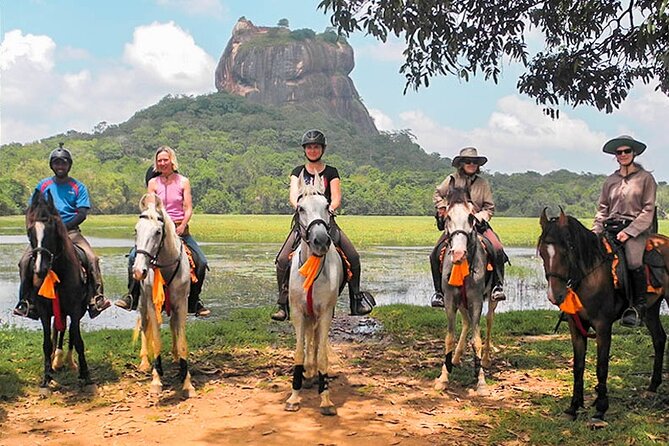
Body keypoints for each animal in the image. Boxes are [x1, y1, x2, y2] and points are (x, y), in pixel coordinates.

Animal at [22, 190, 94, 396]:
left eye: (52, 230)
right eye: (29, 231)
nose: (40, 269)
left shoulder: (75, 309)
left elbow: (77, 339)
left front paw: (85, 375)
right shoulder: (44, 311)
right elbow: (47, 342)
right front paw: (46, 378)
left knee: (69, 332)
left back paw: (67, 361)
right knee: (58, 331)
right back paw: (57, 360)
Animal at [132, 193, 195, 398]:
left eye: (158, 232)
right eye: (136, 230)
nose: (139, 271)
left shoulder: (181, 305)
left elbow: (182, 341)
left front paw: (187, 382)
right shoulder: (152, 305)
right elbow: (157, 340)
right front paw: (156, 380)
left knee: (174, 326)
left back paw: (175, 358)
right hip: (142, 305)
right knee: (144, 327)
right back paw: (144, 362)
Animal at [434, 187, 498, 395]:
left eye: (471, 217)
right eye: (448, 216)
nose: (458, 254)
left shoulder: (476, 300)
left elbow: (476, 340)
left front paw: (481, 381)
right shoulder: (450, 301)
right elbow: (449, 338)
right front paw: (443, 377)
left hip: (491, 300)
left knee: (488, 321)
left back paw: (485, 360)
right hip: (461, 303)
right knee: (467, 322)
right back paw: (455, 358)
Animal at [537, 208, 669, 423]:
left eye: (567, 249)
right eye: (541, 252)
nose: (554, 295)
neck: (589, 276)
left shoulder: (602, 326)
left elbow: (601, 366)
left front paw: (600, 409)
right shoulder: (576, 327)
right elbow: (578, 366)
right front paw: (573, 407)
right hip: (650, 310)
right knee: (659, 339)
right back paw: (652, 387)